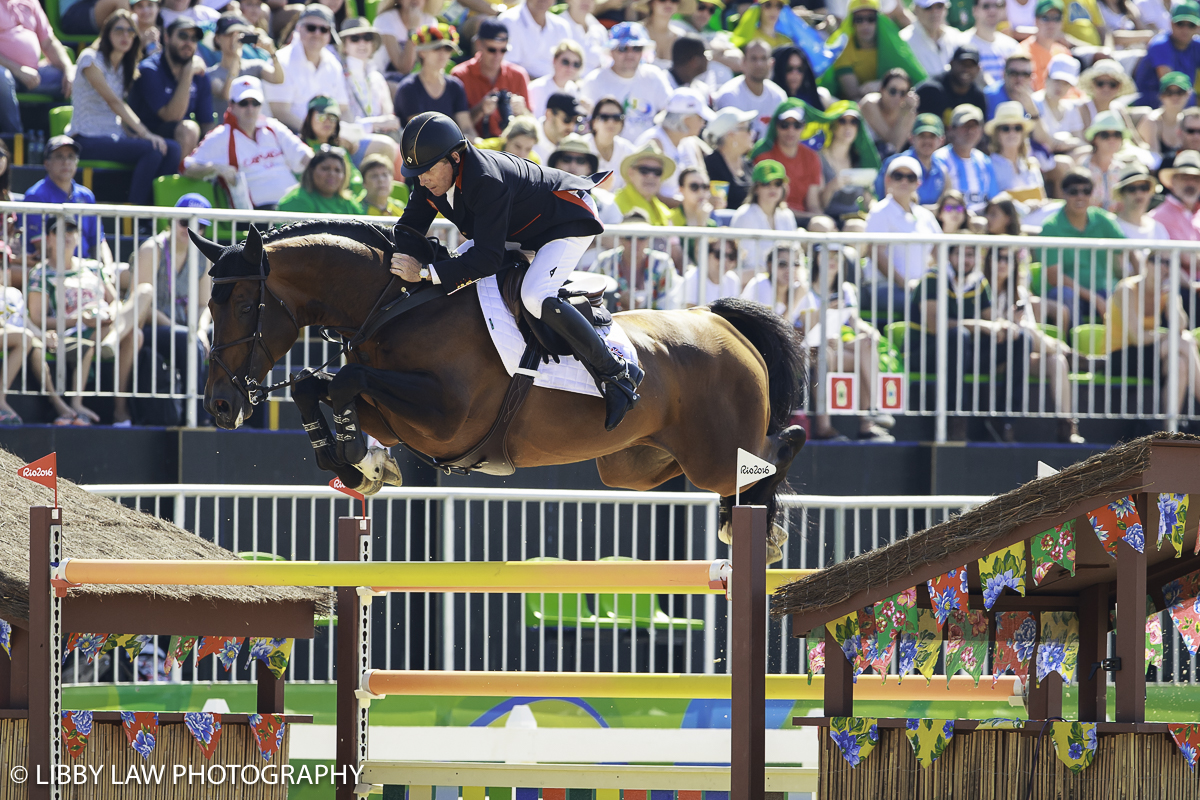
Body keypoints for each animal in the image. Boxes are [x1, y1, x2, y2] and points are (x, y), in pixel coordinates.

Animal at [187, 219, 806, 556]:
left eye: (242, 305)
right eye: (209, 306)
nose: (220, 404)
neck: (394, 307)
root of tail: (719, 321)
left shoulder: (445, 418)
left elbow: (341, 379)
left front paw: (359, 458)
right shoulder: (399, 413)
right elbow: (317, 385)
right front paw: (361, 461)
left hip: (712, 453)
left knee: (774, 451)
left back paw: (765, 530)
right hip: (635, 464)